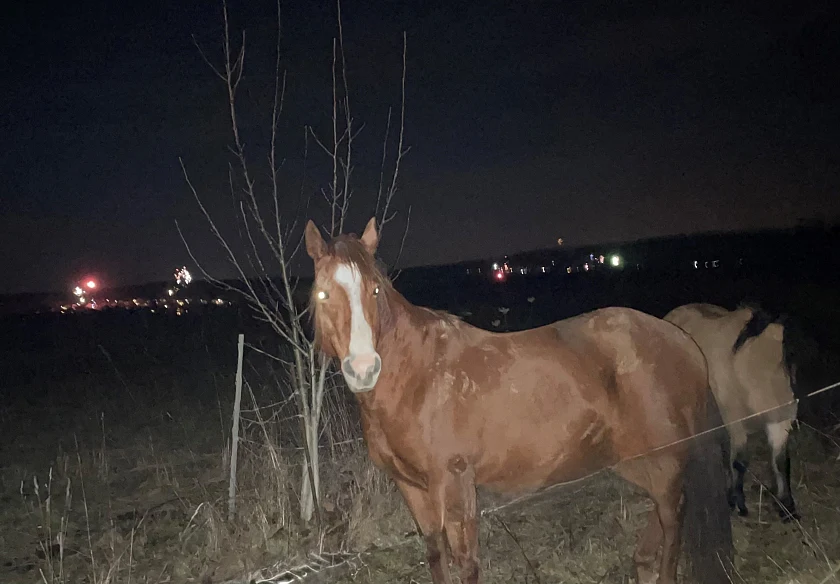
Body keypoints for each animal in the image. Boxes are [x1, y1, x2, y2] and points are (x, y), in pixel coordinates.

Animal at [305, 217, 733, 584]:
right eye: (322, 294)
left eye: (375, 290)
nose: (364, 369)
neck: (418, 379)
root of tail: (681, 340)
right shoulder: (411, 487)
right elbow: (435, 556)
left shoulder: (456, 483)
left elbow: (467, 563)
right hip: (631, 458)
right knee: (663, 511)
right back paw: (642, 563)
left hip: (665, 457)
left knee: (673, 514)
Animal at [664, 303, 799, 521]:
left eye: (790, 358)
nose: (789, 405)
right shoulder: (735, 420)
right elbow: (739, 462)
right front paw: (739, 504)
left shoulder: (778, 424)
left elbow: (780, 461)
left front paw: (788, 508)